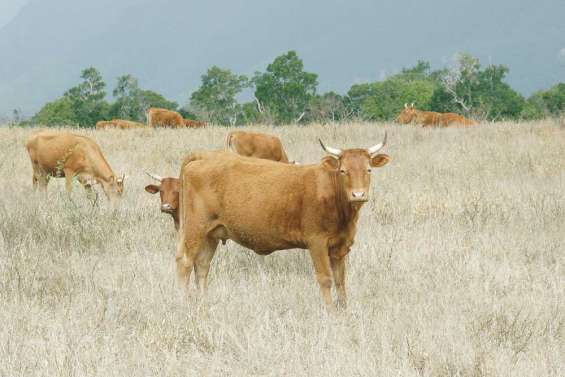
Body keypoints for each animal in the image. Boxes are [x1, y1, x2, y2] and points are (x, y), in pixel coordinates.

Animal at [178, 134, 390, 310]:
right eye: (343, 170)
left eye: (368, 170)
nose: (358, 195)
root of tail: (204, 156)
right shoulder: (317, 243)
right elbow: (325, 278)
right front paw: (330, 312)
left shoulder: (340, 246)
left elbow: (340, 280)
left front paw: (344, 310)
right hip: (194, 229)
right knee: (185, 262)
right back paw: (183, 301)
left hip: (211, 234)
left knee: (202, 266)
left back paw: (203, 301)